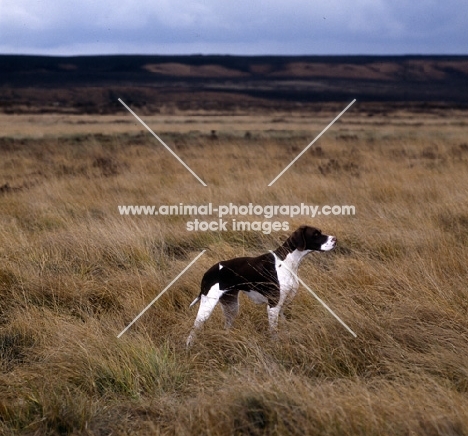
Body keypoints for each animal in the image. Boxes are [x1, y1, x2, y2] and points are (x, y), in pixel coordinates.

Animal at [186, 227, 336, 346]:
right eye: (315, 234)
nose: (335, 239)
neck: (288, 262)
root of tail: (207, 273)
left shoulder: (283, 304)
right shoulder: (273, 306)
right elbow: (274, 332)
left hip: (231, 306)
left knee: (226, 326)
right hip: (207, 307)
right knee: (193, 330)